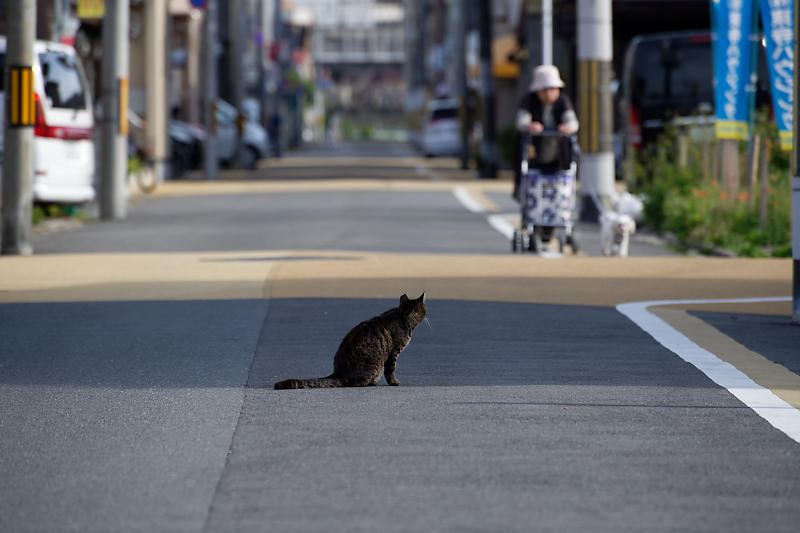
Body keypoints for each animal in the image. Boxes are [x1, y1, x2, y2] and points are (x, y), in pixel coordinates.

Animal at [274, 294, 424, 388]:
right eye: (424, 310)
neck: (402, 316)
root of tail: (338, 373)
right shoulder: (394, 353)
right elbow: (391, 370)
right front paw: (393, 382)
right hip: (375, 366)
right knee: (357, 382)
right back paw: (371, 382)